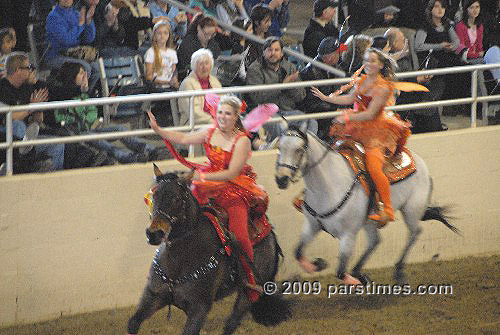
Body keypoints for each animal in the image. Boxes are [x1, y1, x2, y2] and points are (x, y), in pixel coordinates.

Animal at [129, 167, 292, 334]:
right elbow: (133, 322)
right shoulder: (153, 296)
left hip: (247, 296)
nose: (154, 233)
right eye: (153, 195)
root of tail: (270, 233)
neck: (178, 263)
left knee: (232, 322)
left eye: (177, 198)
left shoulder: (199, 308)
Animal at [276, 124, 458, 286]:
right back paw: (359, 271)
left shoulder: (348, 235)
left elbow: (341, 272)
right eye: (279, 147)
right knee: (375, 241)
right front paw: (319, 264)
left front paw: (356, 280)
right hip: (370, 221)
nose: (281, 179)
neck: (329, 186)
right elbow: (298, 252)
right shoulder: (312, 225)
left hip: (411, 210)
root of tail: (421, 164)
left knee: (414, 233)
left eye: (299, 149)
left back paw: (398, 271)